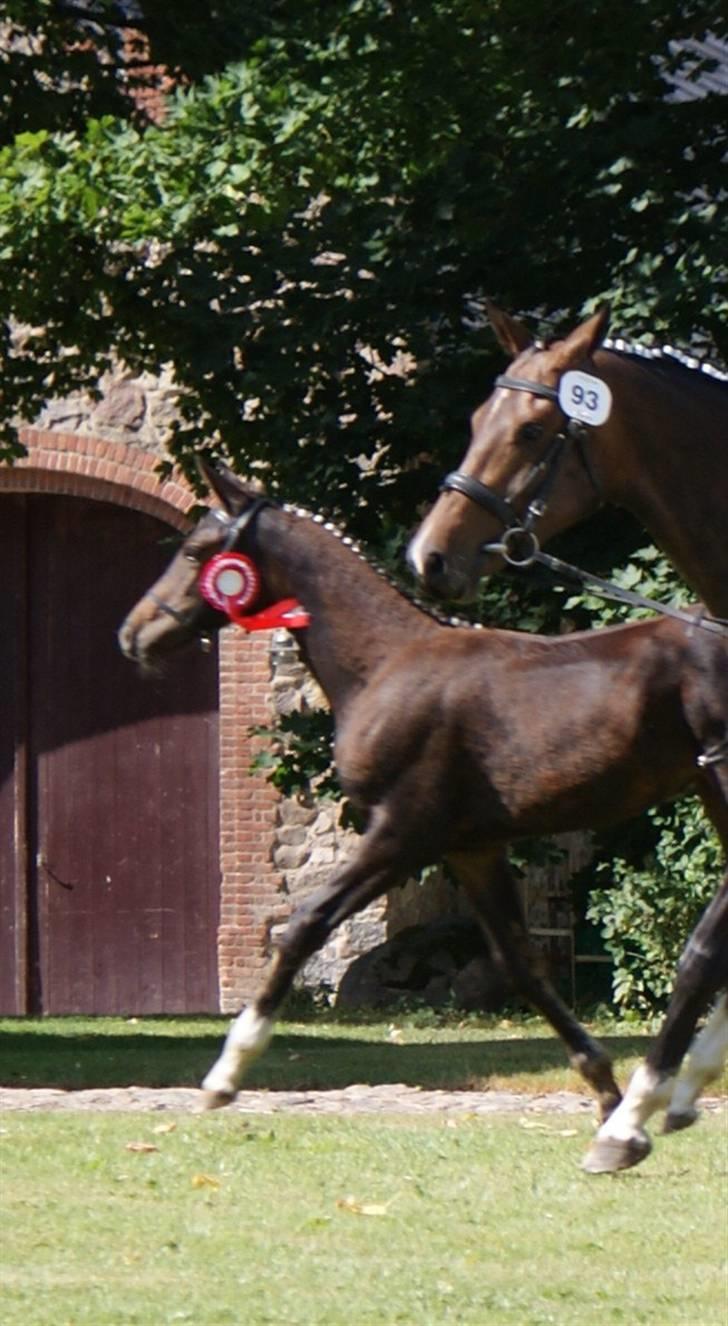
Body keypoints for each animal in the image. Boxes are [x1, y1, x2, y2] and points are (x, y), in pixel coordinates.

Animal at [120, 464, 726, 1172]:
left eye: (195, 552)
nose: (133, 634)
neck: (385, 665)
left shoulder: (402, 832)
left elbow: (305, 924)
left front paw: (225, 1075)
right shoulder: (472, 848)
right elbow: (520, 963)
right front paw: (605, 1093)